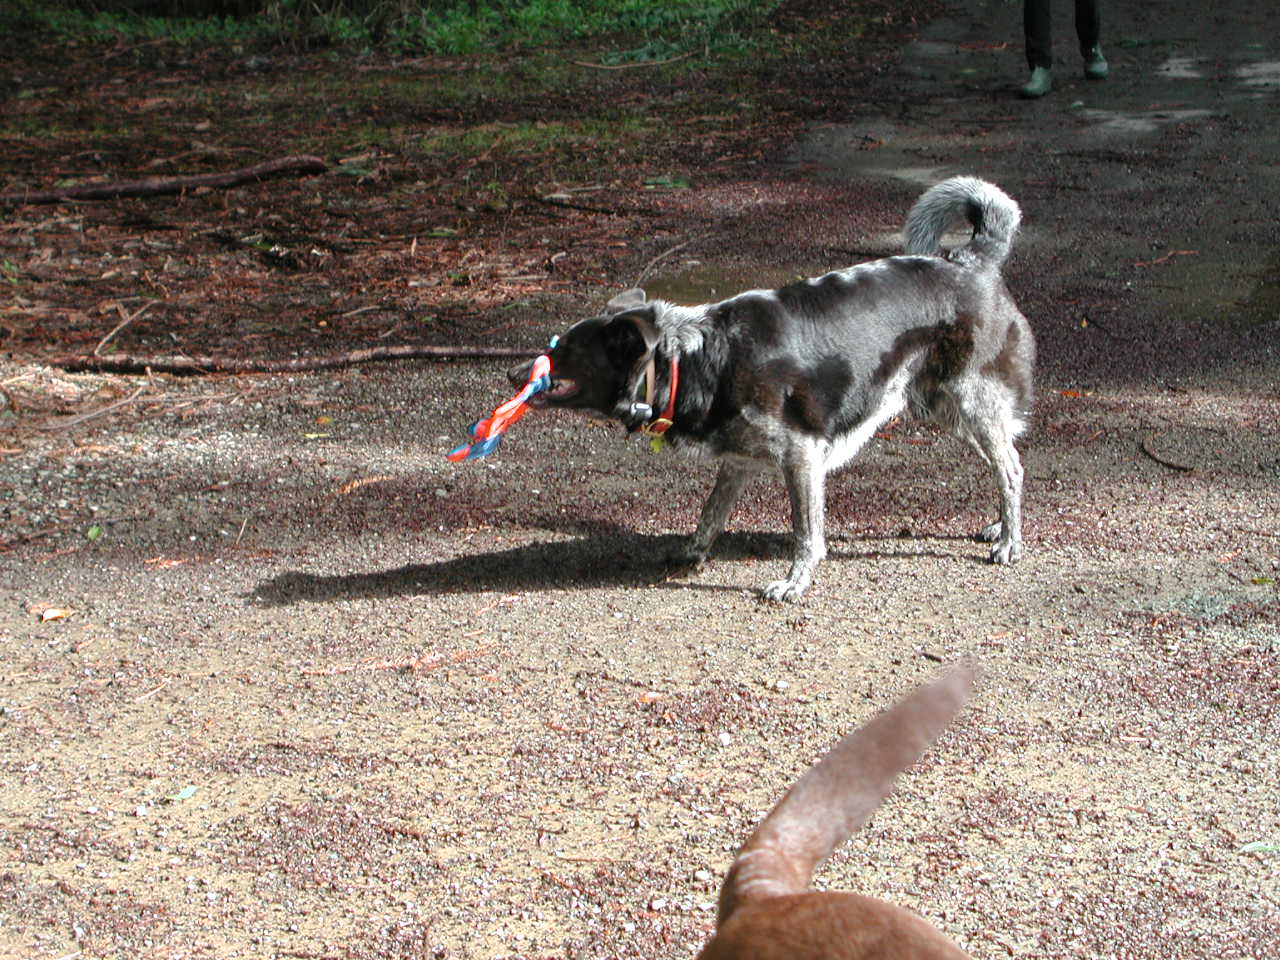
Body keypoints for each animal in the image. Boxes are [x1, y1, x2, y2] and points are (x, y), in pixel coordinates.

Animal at [510, 176, 1034, 600]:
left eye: (564, 350)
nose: (515, 375)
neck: (695, 357)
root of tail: (970, 261)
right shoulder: (737, 460)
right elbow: (711, 514)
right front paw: (692, 553)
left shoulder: (802, 456)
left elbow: (807, 533)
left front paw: (795, 582)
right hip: (943, 406)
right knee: (1004, 460)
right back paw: (998, 527)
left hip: (971, 399)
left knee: (1010, 467)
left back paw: (1010, 541)